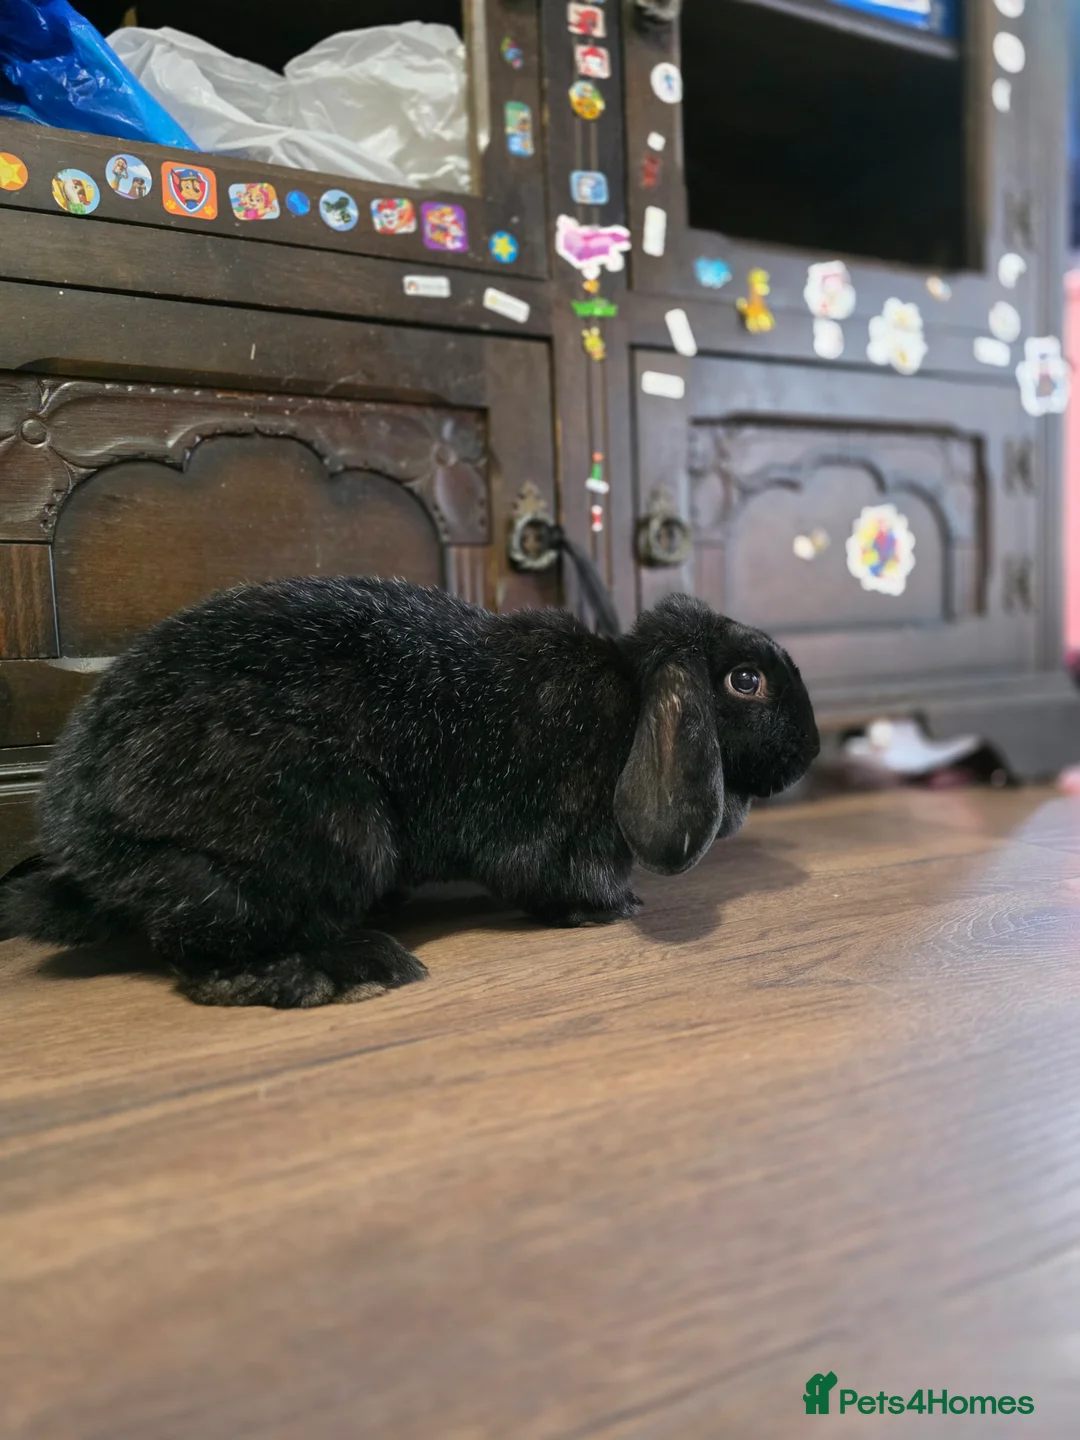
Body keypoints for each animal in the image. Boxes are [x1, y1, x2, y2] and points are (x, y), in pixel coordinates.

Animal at [1, 578, 819, 1008]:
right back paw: (345, 972)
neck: (628, 701)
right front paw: (612, 909)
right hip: (333, 829)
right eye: (746, 681)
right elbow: (556, 878)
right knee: (204, 951)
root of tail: (84, 842)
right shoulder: (555, 834)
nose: (811, 750)